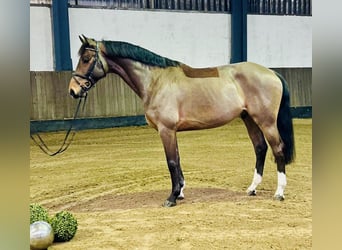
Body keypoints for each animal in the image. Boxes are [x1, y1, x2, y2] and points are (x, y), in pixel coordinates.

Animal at [69, 35, 294, 207]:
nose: (73, 90)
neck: (155, 81)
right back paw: (252, 188)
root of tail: (272, 72)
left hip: (266, 122)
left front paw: (171, 197)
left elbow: (171, 162)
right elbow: (177, 160)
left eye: (87, 58)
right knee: (260, 148)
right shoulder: (171, 131)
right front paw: (181, 192)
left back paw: (279, 192)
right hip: (250, 119)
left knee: (277, 149)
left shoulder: (166, 130)